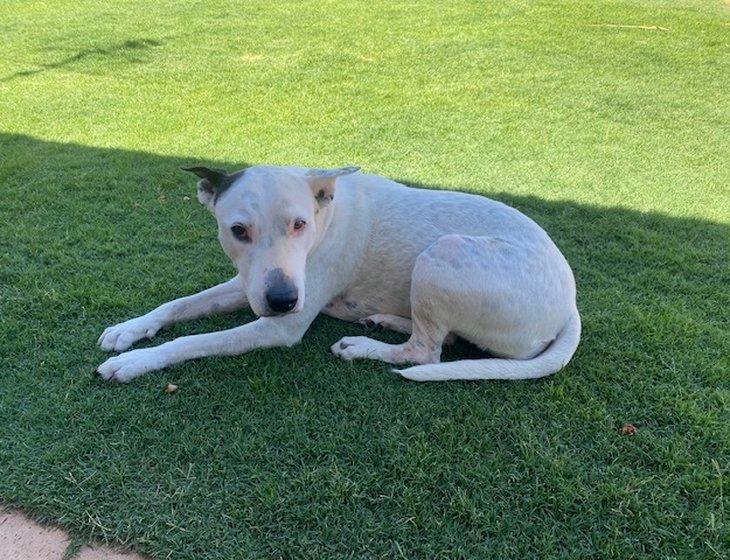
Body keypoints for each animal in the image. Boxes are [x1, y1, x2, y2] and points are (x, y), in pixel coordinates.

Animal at [96, 166, 576, 382]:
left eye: (299, 224)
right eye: (238, 230)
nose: (283, 299)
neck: (324, 214)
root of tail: (571, 305)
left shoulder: (279, 325)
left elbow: (193, 340)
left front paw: (135, 361)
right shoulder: (249, 283)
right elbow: (177, 305)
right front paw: (129, 330)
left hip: (442, 253)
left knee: (426, 352)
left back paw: (363, 345)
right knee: (446, 339)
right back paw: (383, 320)